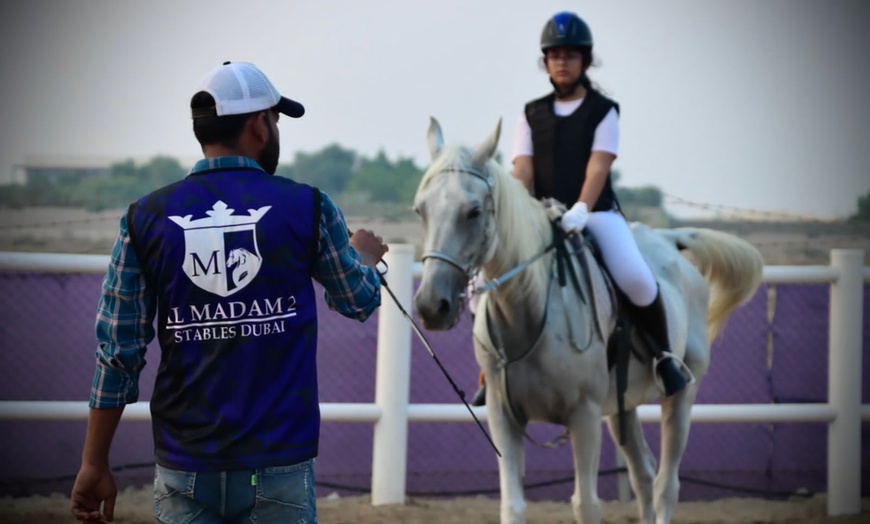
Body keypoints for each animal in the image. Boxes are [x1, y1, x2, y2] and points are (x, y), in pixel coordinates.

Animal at [414, 118, 764, 524]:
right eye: (420, 210)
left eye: (473, 211)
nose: (430, 305)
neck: (528, 313)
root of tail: (666, 239)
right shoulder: (504, 417)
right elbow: (513, 505)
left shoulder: (584, 416)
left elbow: (586, 504)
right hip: (622, 406)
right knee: (644, 476)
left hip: (680, 397)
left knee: (666, 485)